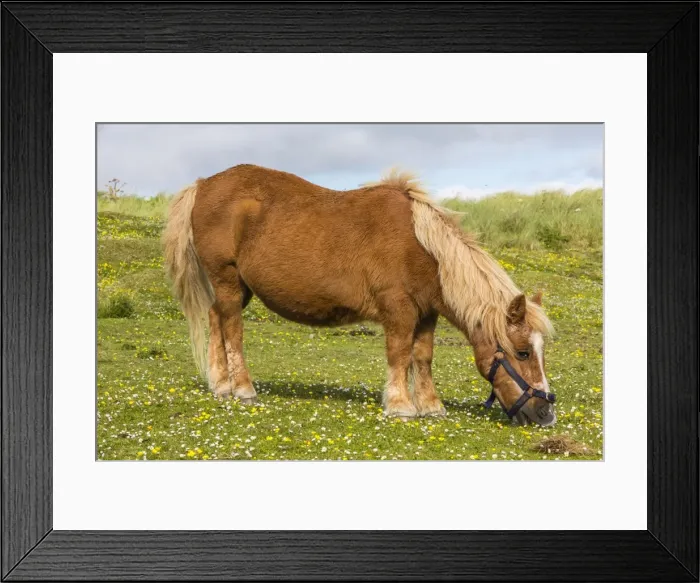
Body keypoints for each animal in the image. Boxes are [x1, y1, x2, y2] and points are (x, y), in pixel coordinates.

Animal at [163, 164, 557, 426]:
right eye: (522, 352)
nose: (546, 413)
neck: (422, 246)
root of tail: (203, 184)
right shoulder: (398, 309)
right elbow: (399, 354)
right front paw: (401, 406)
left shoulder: (426, 314)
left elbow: (423, 357)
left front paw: (431, 405)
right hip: (228, 280)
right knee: (232, 330)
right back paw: (242, 388)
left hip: (237, 287)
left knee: (216, 320)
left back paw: (220, 385)